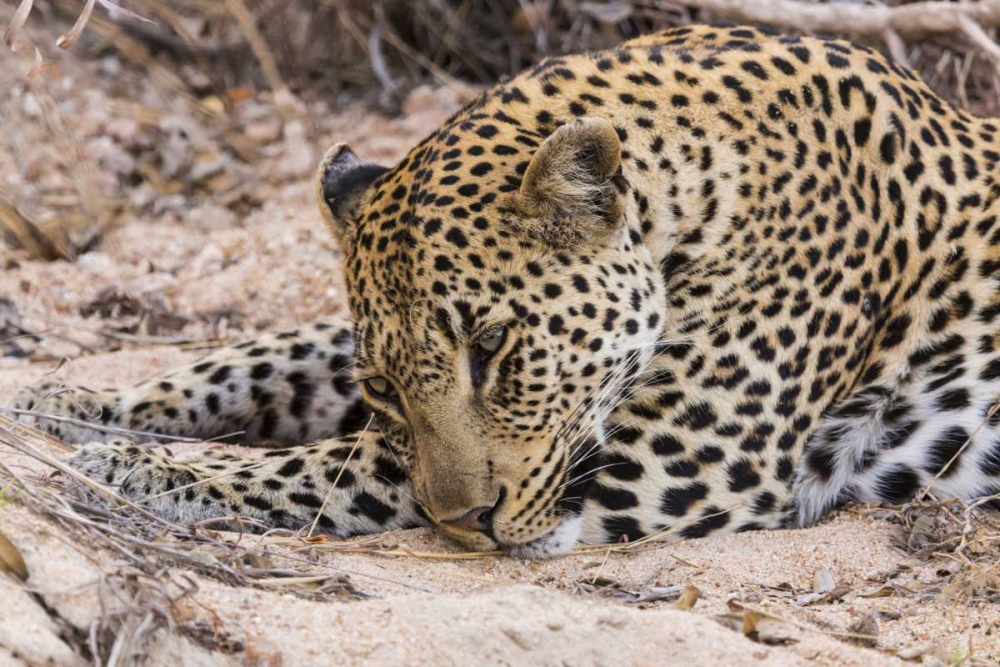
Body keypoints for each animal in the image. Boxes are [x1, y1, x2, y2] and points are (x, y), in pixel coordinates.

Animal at [11, 24, 1000, 558]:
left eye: (495, 349)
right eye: (383, 386)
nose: (470, 525)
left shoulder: (679, 458)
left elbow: (339, 466)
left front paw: (142, 466)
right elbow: (263, 358)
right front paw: (70, 403)